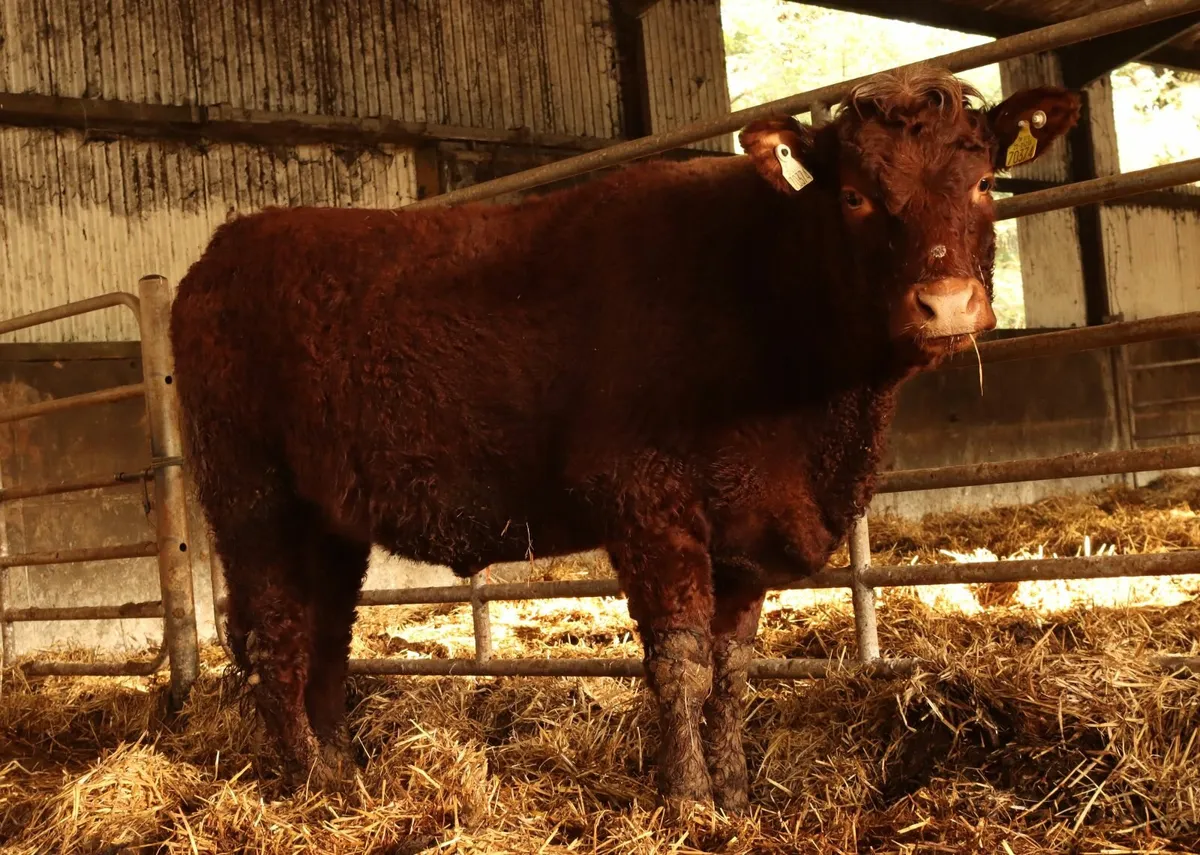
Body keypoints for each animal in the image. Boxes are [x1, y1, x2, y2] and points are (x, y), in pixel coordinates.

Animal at [169, 65, 1079, 818]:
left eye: (985, 182)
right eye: (854, 195)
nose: (947, 303)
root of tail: (222, 249)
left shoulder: (747, 530)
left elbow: (733, 667)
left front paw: (737, 793)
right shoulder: (647, 500)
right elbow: (679, 660)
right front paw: (688, 801)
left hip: (329, 518)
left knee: (325, 636)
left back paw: (345, 774)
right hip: (252, 497)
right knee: (272, 638)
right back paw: (304, 783)